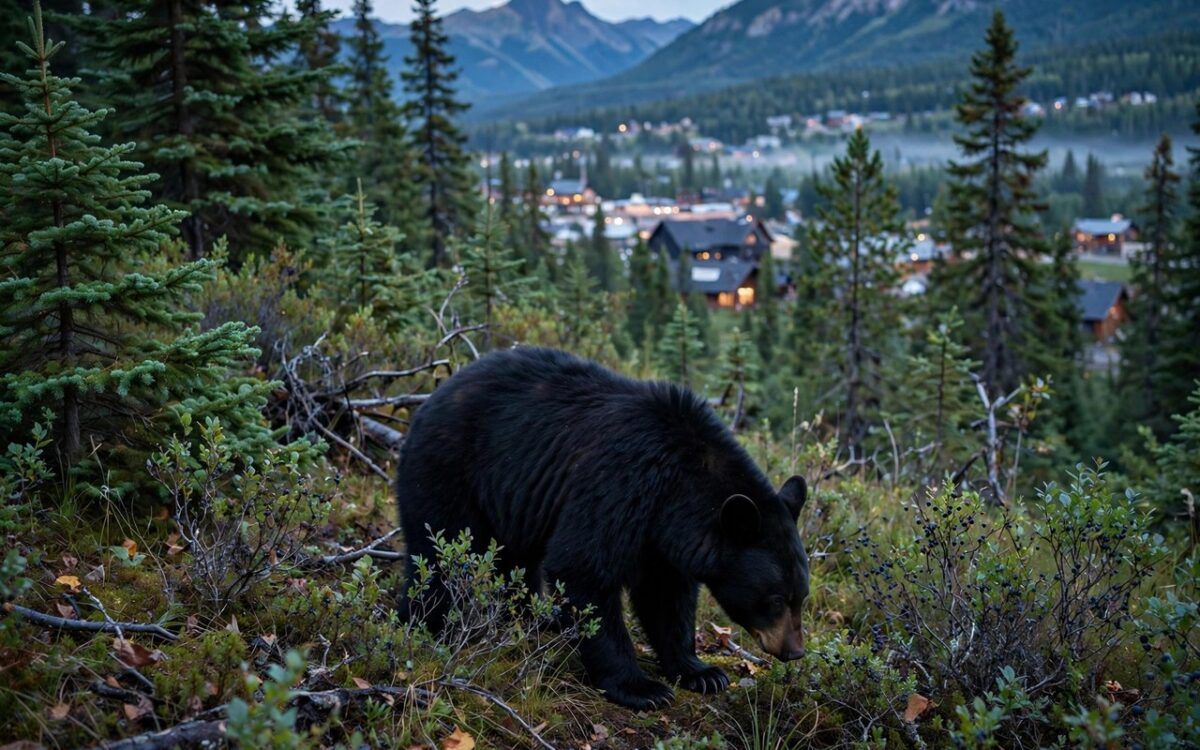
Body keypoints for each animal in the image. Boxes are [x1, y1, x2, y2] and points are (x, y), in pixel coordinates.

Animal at [395, 347, 810, 710]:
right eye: (774, 598)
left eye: (801, 596)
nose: (794, 651)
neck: (680, 483)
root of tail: (428, 399)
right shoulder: (621, 485)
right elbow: (584, 569)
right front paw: (641, 688)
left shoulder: (661, 535)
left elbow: (665, 595)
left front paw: (700, 672)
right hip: (447, 472)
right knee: (438, 556)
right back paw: (427, 628)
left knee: (516, 562)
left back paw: (536, 619)